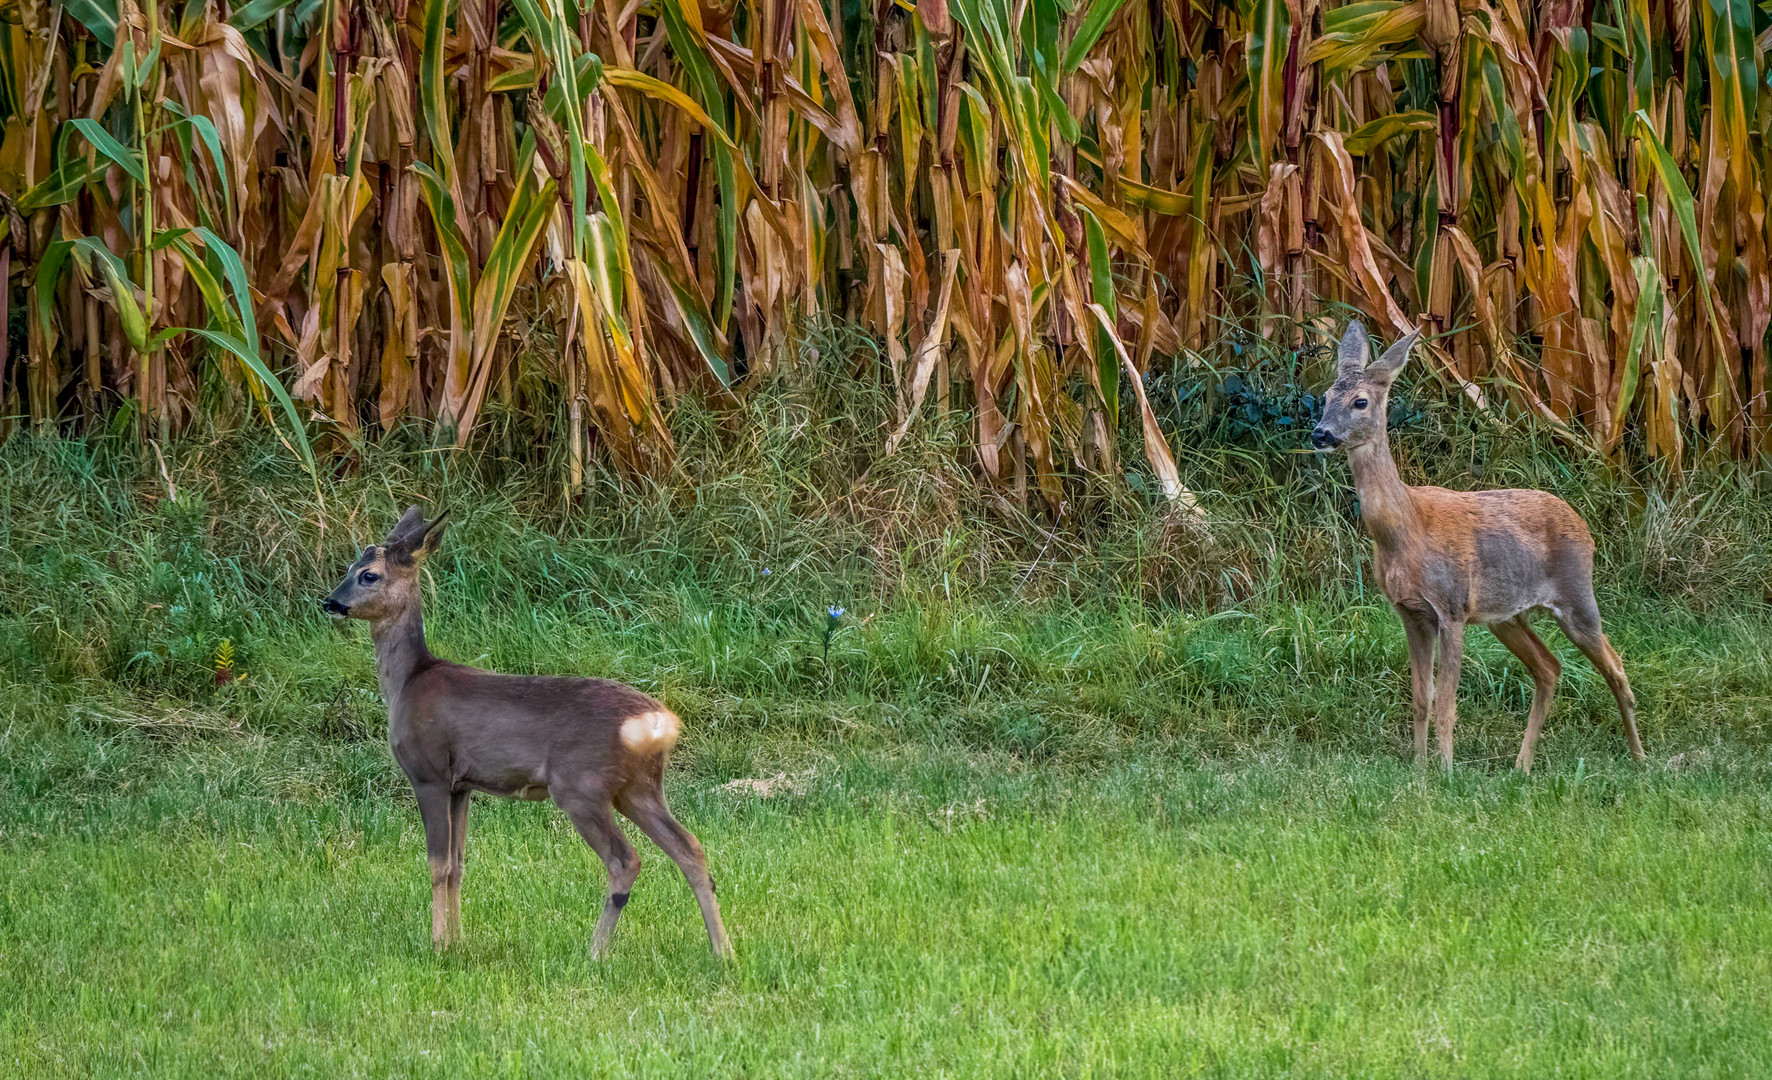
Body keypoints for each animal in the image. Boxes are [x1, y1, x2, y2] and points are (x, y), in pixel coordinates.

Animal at [322, 510, 730, 957]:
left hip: (580, 784)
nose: (330, 602)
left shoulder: (429, 772)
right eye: (348, 568)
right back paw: (723, 950)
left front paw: (438, 944)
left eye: (369, 575)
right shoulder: (461, 784)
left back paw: (594, 952)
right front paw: (459, 940)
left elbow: (437, 864)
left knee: (626, 860)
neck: (408, 683)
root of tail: (661, 723)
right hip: (639, 787)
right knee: (690, 848)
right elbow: (459, 864)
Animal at [1304, 315, 1644, 769]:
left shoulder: (1451, 606)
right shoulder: (1410, 612)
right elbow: (1421, 699)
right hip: (1507, 616)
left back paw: (1639, 756)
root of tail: (1584, 527)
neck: (1407, 530)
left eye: (1360, 402)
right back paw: (1521, 766)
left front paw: (1446, 772)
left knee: (1616, 666)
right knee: (1549, 668)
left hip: (1577, 597)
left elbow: (1446, 704)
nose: (1320, 434)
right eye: (1325, 396)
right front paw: (1420, 770)